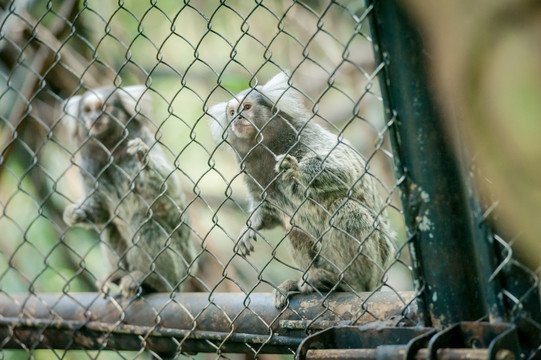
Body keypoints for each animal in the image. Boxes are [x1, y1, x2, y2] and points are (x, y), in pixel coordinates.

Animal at [63, 86, 197, 296]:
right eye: (87, 110)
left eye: (103, 107)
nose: (94, 117)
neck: (110, 149)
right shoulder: (87, 166)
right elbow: (100, 211)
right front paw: (75, 213)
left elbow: (168, 189)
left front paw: (144, 159)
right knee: (110, 226)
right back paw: (118, 274)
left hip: (179, 269)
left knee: (143, 222)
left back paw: (151, 280)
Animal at [209, 72, 394, 306]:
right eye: (232, 112)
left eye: (247, 107)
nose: (237, 119)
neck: (266, 147)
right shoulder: (249, 169)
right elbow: (269, 212)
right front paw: (252, 226)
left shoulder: (306, 137)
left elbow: (346, 170)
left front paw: (297, 169)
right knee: (295, 229)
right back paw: (306, 282)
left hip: (380, 258)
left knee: (345, 209)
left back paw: (346, 282)